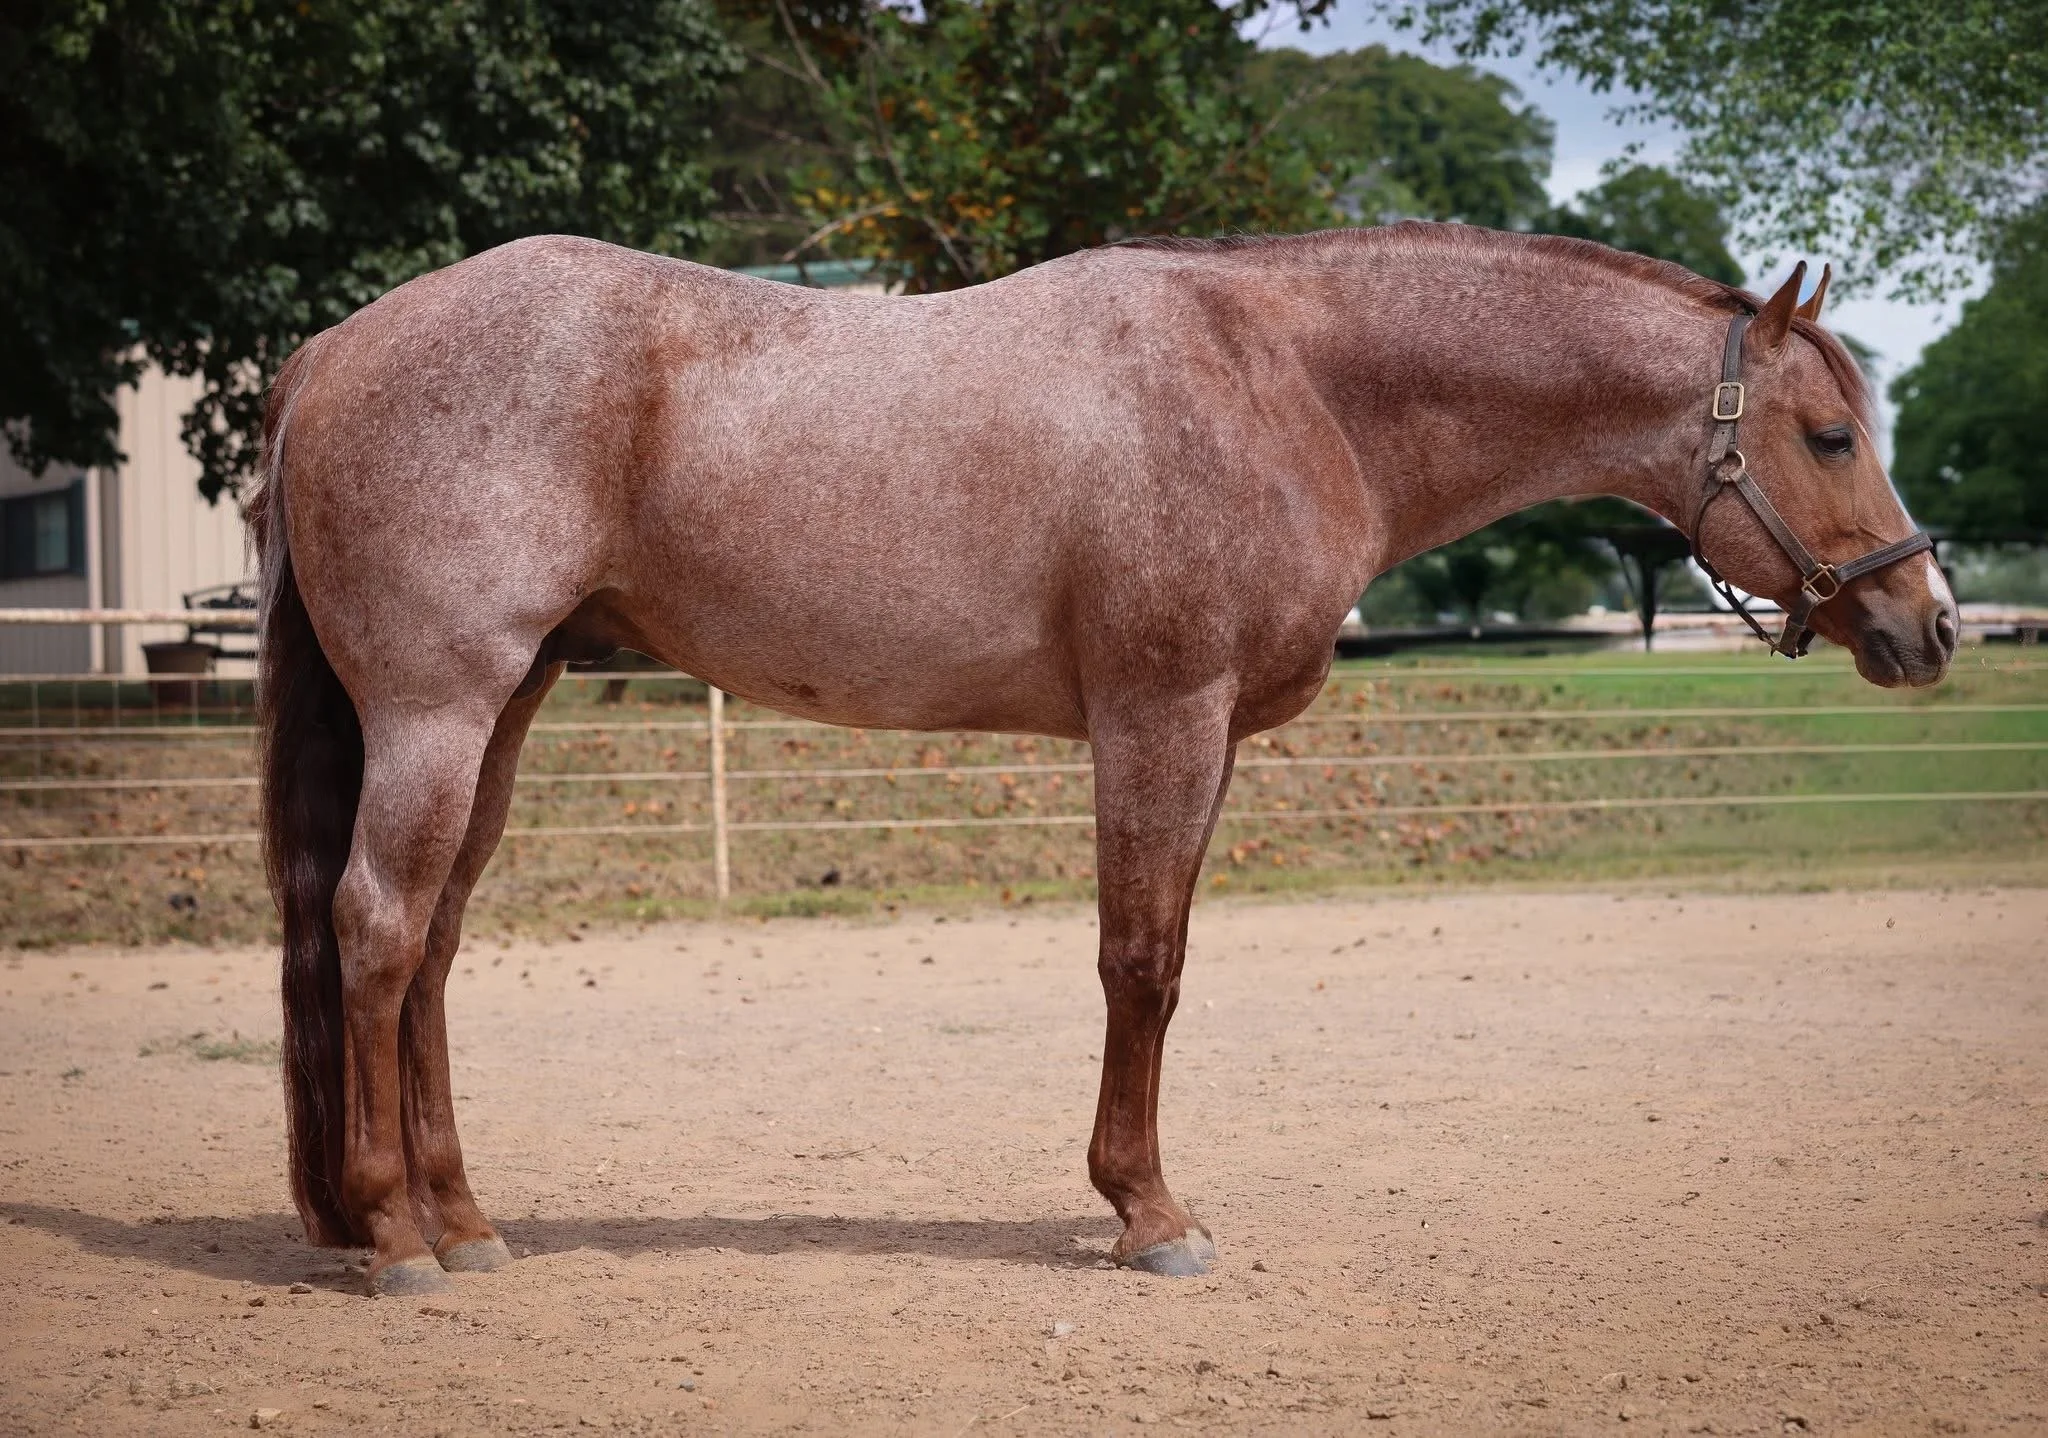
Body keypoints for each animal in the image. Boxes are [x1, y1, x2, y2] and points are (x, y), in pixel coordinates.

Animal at [249, 222, 1956, 1294]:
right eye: (1827, 434)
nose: (1929, 621)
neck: (1287, 382)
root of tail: (336, 344)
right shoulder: (1158, 714)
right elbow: (1142, 962)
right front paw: (1150, 1214)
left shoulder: (1197, 740)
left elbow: (1166, 951)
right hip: (441, 708)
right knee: (378, 929)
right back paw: (396, 1238)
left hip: (506, 709)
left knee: (431, 947)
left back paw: (466, 1220)